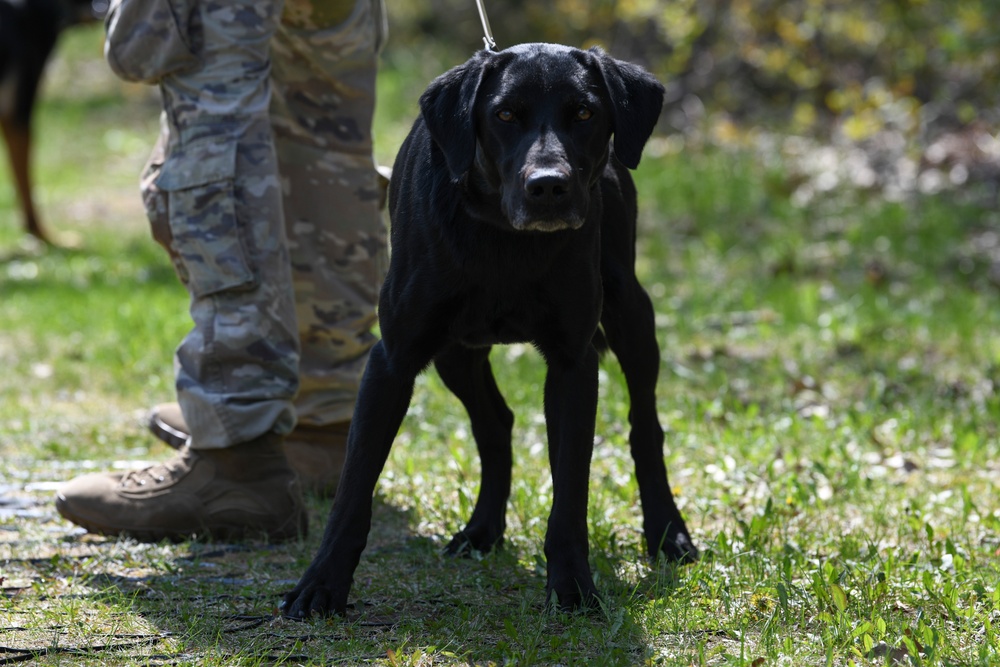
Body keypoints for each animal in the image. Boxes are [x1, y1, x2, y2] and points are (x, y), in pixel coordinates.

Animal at [286, 41, 700, 620]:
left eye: (585, 113)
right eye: (504, 115)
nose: (548, 186)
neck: (503, 239)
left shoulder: (573, 363)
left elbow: (569, 493)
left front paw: (572, 588)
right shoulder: (392, 360)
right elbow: (353, 488)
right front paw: (321, 584)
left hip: (632, 315)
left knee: (645, 427)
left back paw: (667, 532)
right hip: (454, 354)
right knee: (495, 423)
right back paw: (482, 530)